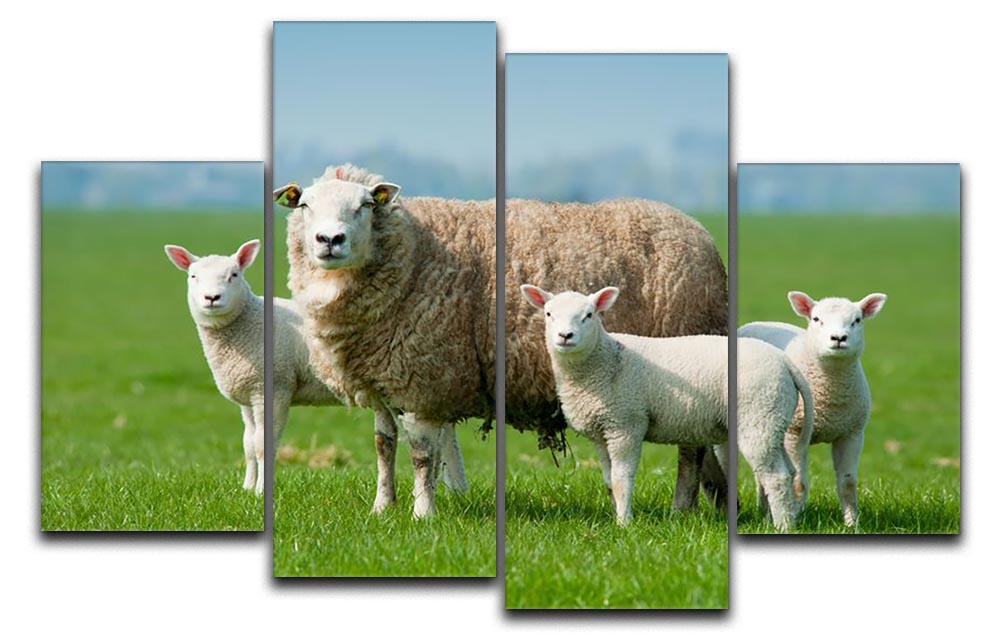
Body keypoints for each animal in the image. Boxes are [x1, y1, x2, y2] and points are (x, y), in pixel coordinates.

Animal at [164, 238, 468, 502]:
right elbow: (249, 444)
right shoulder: (248, 395)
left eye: (234, 275)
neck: (246, 324)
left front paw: (262, 492)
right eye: (193, 276)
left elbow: (263, 444)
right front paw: (248, 488)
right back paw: (455, 488)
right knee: (447, 434)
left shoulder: (273, 388)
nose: (211, 298)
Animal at [275, 164, 494, 518]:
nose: (331, 239)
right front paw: (382, 506)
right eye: (305, 205)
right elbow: (383, 444)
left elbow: (421, 454)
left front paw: (423, 513)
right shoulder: (381, 381)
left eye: (365, 205)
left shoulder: (422, 379)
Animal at [520, 284, 813, 531]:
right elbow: (608, 480)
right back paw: (780, 519)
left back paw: (783, 526)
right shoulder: (600, 432)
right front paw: (615, 515)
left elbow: (621, 478)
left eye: (589, 315)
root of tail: (785, 363)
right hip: (773, 420)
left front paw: (624, 524)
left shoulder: (626, 423)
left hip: (759, 415)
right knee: (788, 471)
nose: (565, 336)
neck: (603, 360)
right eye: (548, 313)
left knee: (775, 476)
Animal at [739, 291, 887, 527]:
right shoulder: (794, 433)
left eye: (857, 320)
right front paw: (796, 517)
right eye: (817, 319)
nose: (838, 338)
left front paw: (852, 524)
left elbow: (848, 484)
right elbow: (798, 482)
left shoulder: (852, 433)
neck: (830, 397)